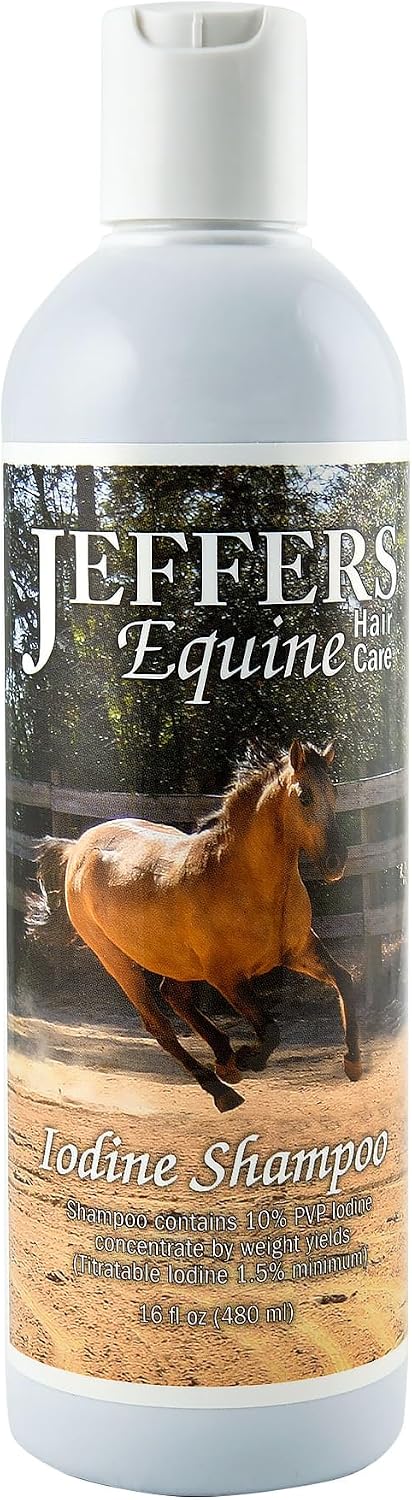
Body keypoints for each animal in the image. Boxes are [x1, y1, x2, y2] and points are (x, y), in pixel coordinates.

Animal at [27, 738, 362, 1112]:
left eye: (334, 792)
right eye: (304, 796)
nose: (336, 862)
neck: (246, 882)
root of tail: (77, 849)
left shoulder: (300, 950)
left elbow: (345, 982)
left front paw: (353, 1062)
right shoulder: (226, 977)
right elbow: (269, 1029)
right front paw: (247, 1058)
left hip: (176, 961)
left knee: (174, 996)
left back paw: (225, 1060)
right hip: (116, 960)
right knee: (158, 1022)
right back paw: (221, 1086)